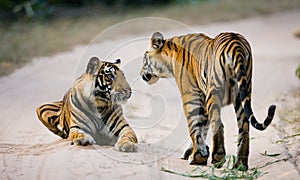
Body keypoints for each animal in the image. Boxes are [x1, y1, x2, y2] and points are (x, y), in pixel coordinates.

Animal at [141, 31, 276, 169]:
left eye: (144, 58)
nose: (141, 73)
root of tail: (235, 44)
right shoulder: (203, 97)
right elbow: (202, 127)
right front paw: (196, 152)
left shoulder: (190, 95)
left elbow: (195, 126)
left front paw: (197, 157)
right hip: (242, 92)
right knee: (244, 127)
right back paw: (240, 165)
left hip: (214, 91)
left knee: (218, 123)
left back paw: (218, 156)